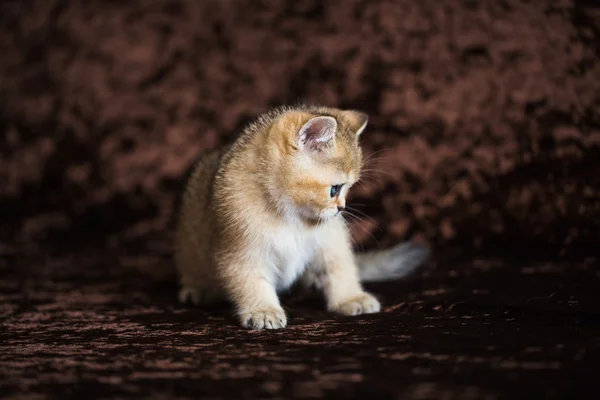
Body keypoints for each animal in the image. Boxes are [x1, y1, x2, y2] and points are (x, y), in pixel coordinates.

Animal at [173, 104, 432, 330]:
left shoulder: (331, 240)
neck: (289, 216)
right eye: (335, 189)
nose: (342, 208)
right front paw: (262, 310)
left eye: (348, 189)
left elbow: (340, 268)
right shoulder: (241, 250)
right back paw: (198, 290)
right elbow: (251, 282)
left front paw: (350, 297)